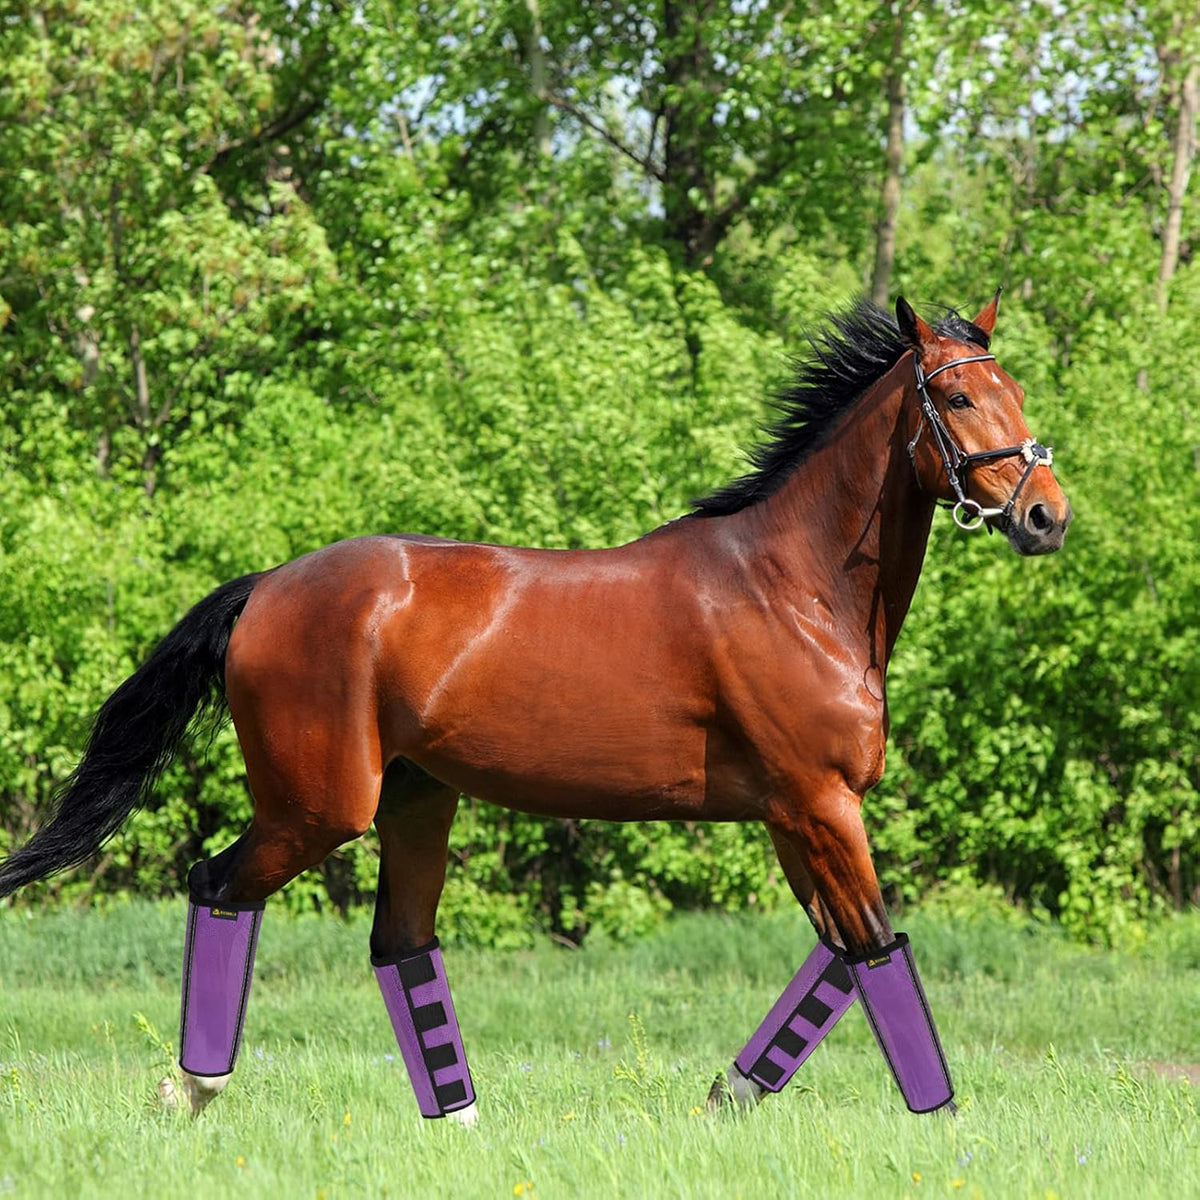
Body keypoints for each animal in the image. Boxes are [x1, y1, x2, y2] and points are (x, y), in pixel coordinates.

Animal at [0, 293, 1070, 1122]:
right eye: (956, 395)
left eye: (1015, 391)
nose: (1045, 515)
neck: (795, 586)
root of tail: (268, 587)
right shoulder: (820, 804)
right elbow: (878, 949)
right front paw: (946, 1125)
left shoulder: (793, 816)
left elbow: (842, 954)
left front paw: (729, 1096)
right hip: (316, 808)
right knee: (219, 885)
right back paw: (191, 1089)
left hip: (417, 799)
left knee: (401, 944)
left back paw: (460, 1128)